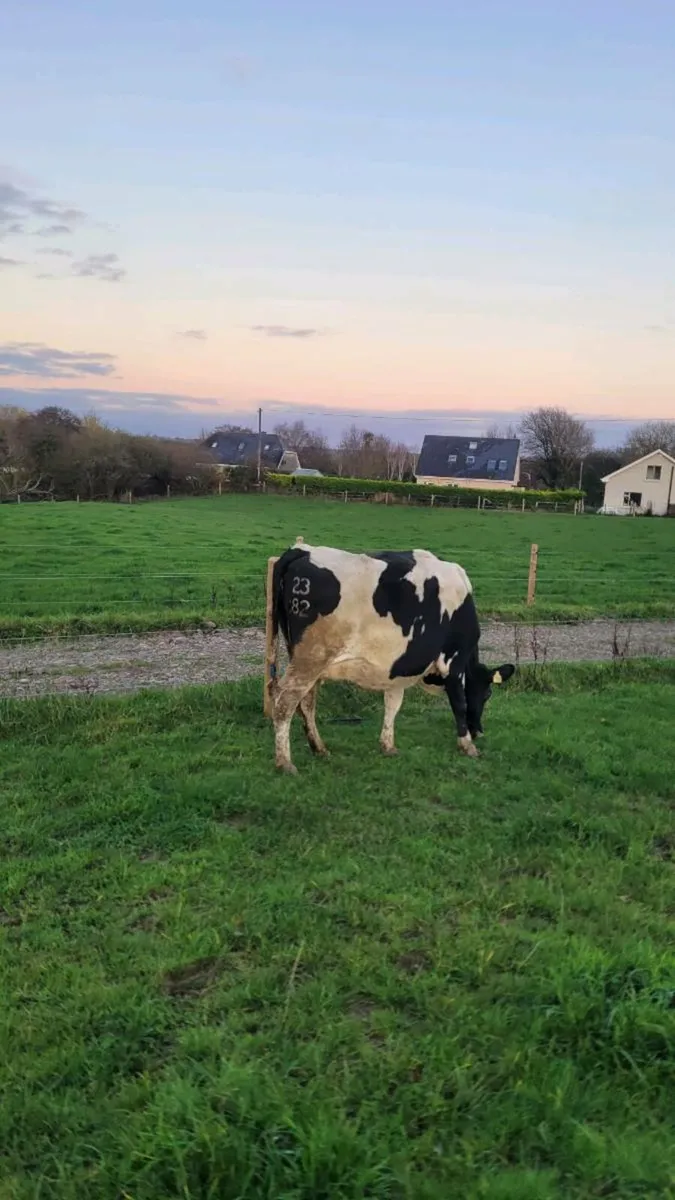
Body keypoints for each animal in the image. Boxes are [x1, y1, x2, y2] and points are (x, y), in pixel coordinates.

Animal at [268, 541, 515, 774]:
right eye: (487, 694)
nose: (479, 731)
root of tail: (301, 549)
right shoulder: (453, 661)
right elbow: (460, 703)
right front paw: (467, 745)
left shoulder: (400, 666)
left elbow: (393, 704)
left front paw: (388, 745)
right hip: (311, 658)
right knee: (284, 702)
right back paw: (285, 763)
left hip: (307, 660)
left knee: (306, 701)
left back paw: (319, 748)